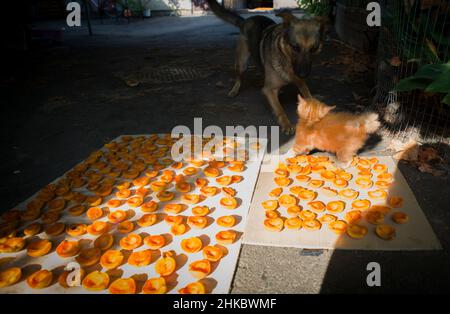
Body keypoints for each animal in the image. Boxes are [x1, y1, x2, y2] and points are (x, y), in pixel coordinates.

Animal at [206, 0, 326, 134]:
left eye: (314, 48)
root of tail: (246, 21)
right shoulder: (268, 90)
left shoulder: (301, 82)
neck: (286, 61)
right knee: (239, 77)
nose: (303, 74)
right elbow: (279, 108)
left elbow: (309, 96)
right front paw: (286, 124)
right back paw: (234, 90)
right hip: (242, 63)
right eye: (295, 47)